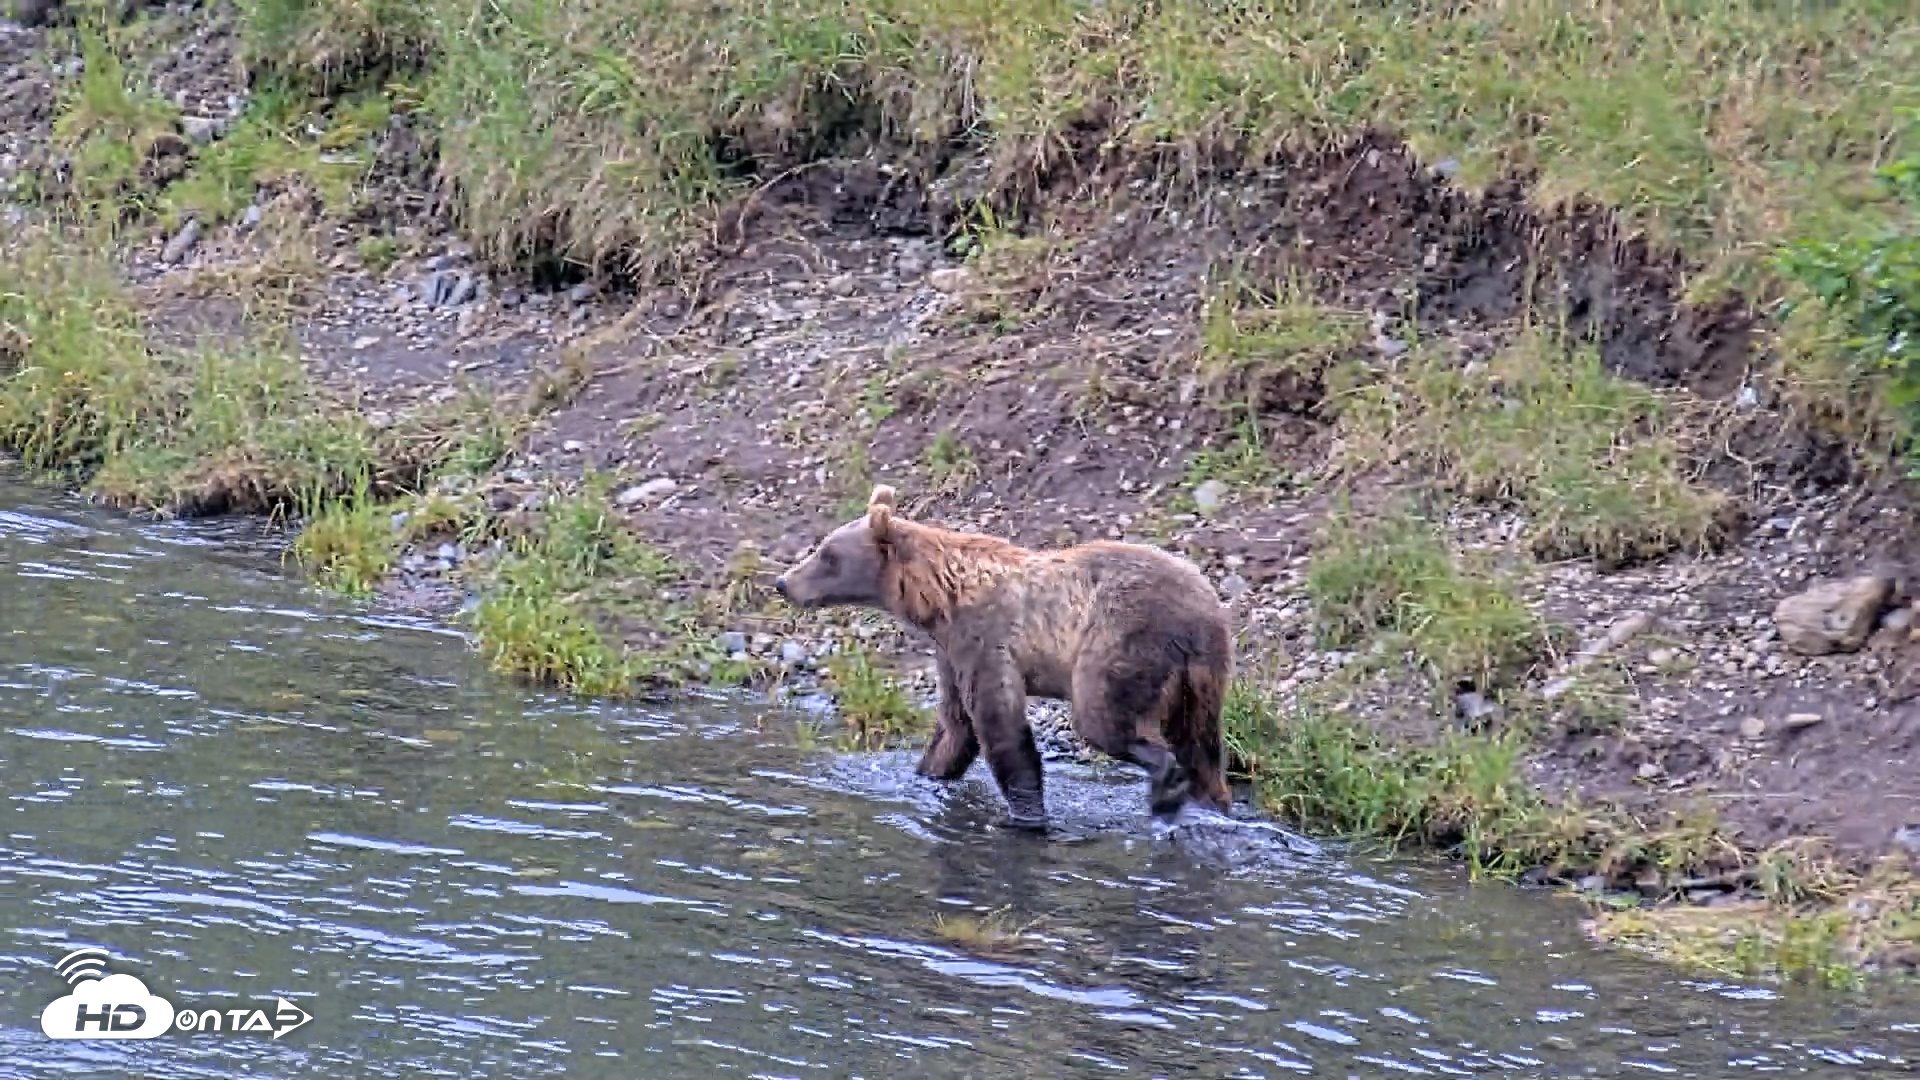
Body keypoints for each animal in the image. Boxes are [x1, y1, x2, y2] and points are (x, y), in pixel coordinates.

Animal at [773, 484, 1234, 831]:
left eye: (827, 555)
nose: (783, 582)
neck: (935, 601)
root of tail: (1203, 614)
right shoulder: (950, 652)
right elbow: (955, 725)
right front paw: (926, 773)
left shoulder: (985, 639)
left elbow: (1000, 726)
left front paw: (1025, 815)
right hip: (1201, 678)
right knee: (1202, 747)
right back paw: (1210, 804)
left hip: (1121, 642)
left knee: (1103, 719)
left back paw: (1165, 786)